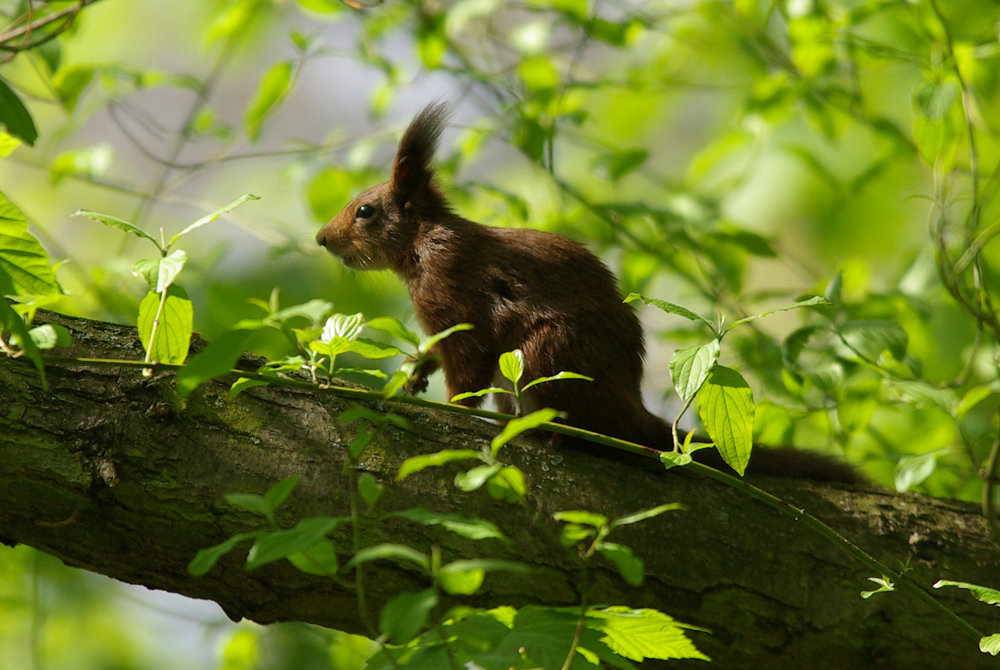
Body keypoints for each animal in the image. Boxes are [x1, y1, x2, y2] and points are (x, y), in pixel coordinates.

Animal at [318, 102, 860, 486]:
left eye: (365, 211)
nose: (323, 239)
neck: (421, 242)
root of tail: (628, 409)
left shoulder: (455, 292)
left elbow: (468, 363)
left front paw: (454, 407)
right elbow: (434, 349)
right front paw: (415, 374)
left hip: (548, 355)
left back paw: (552, 437)